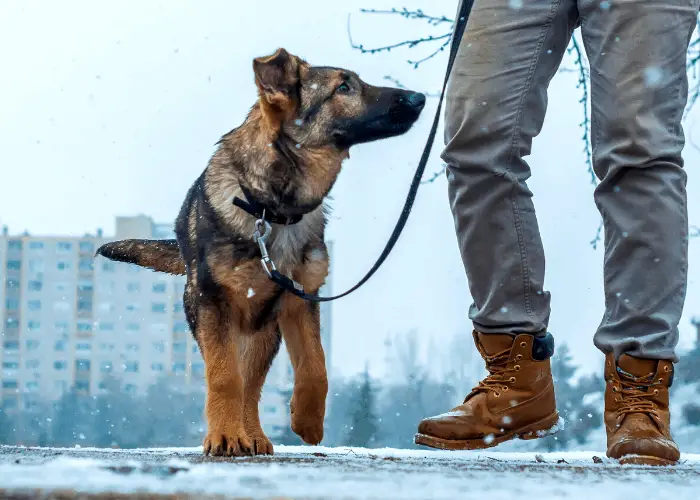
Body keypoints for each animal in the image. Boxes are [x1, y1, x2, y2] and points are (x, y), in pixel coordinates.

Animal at [95, 48, 424, 456]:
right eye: (343, 87)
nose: (420, 98)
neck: (272, 207)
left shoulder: (300, 298)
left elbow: (315, 366)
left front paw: (307, 421)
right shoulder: (214, 303)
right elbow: (224, 376)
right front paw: (223, 435)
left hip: (265, 331)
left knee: (252, 384)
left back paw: (252, 433)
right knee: (235, 375)